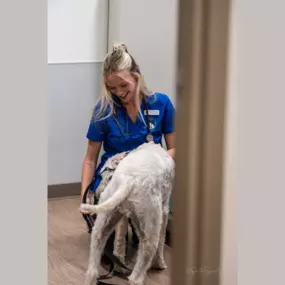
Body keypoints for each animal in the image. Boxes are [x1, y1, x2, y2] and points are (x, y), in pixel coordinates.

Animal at [79, 141, 174, 284]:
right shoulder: (164, 209)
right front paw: (160, 264)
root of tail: (128, 180)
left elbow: (120, 241)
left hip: (104, 222)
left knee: (92, 271)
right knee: (136, 275)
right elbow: (162, 241)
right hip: (151, 225)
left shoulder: (125, 217)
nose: (95, 193)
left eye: (105, 170)